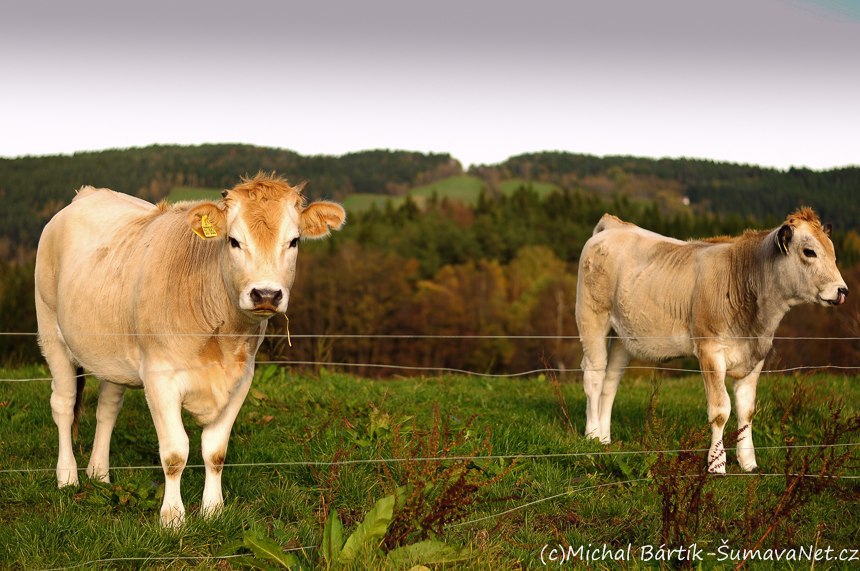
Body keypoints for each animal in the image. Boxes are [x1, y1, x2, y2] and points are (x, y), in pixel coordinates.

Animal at [36, 174, 346, 528]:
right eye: (234, 241)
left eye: (294, 241)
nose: (266, 293)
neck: (221, 343)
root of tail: (88, 194)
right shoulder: (160, 377)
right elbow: (175, 453)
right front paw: (172, 517)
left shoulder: (243, 378)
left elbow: (215, 450)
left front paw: (213, 510)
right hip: (50, 330)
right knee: (63, 404)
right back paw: (67, 477)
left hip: (112, 353)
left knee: (108, 408)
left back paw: (99, 473)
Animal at [576, 209, 848, 474]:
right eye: (809, 251)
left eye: (833, 253)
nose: (842, 290)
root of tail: (615, 225)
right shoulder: (709, 350)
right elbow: (720, 410)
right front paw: (717, 464)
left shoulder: (756, 356)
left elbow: (747, 410)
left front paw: (748, 462)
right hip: (592, 318)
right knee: (594, 377)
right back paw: (592, 436)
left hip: (623, 334)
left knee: (611, 381)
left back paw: (605, 439)